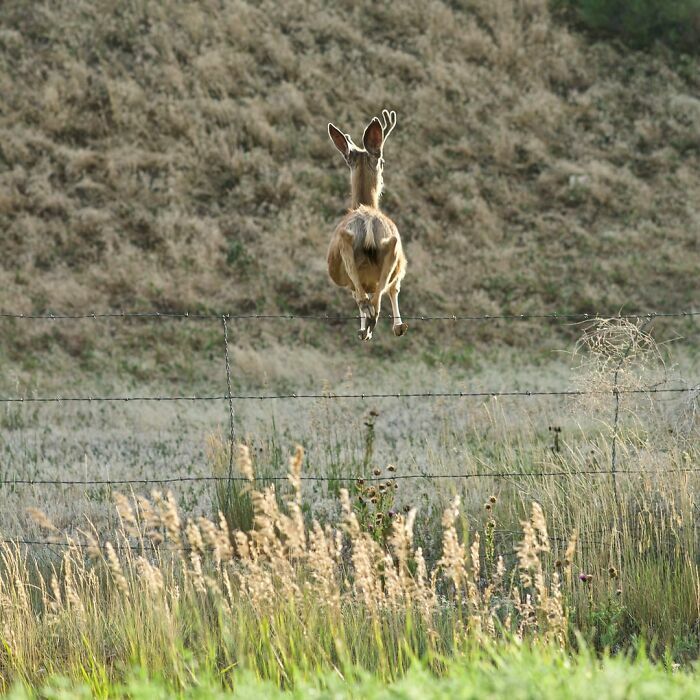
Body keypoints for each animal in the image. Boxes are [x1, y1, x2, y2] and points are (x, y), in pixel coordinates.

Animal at [326, 109, 408, 341]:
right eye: (383, 162)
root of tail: (369, 220)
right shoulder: (401, 267)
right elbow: (393, 289)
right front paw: (398, 326)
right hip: (393, 247)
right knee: (375, 297)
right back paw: (374, 323)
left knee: (364, 296)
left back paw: (367, 325)